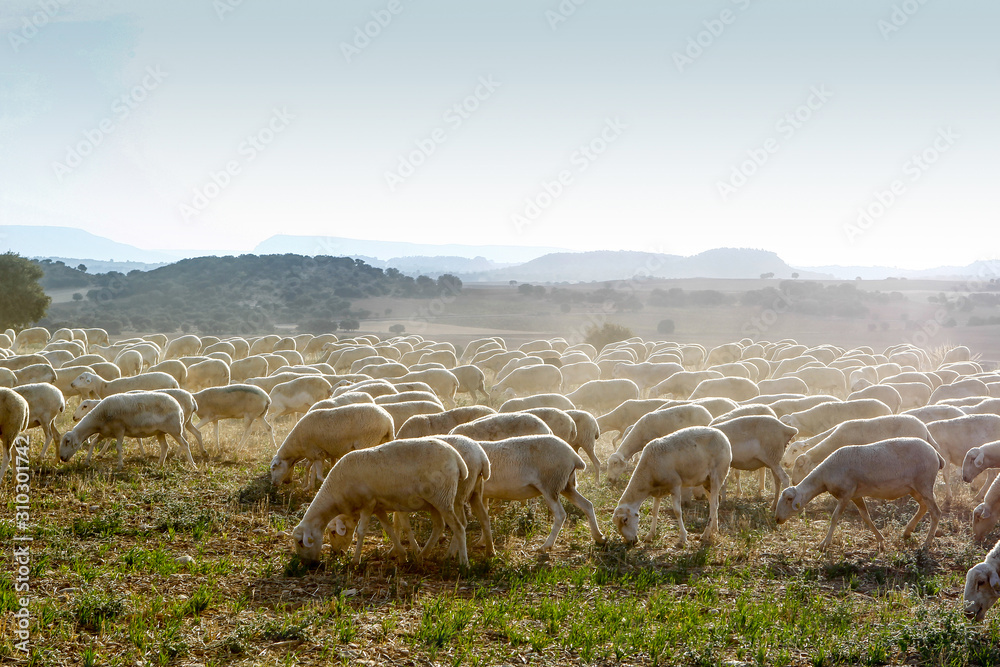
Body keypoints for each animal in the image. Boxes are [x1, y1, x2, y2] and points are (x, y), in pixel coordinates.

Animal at [58, 394, 195, 468]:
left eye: (67, 441)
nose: (61, 457)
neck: (100, 417)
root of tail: (179, 407)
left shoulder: (119, 430)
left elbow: (118, 448)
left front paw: (119, 465)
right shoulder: (104, 433)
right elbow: (93, 443)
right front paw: (87, 461)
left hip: (175, 429)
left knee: (185, 444)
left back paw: (192, 464)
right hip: (160, 431)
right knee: (165, 447)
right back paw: (160, 464)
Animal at [292, 440, 472, 568]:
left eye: (301, 542)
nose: (308, 565)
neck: (337, 492)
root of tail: (457, 458)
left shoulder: (367, 503)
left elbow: (361, 532)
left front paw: (355, 561)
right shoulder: (378, 507)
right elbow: (389, 529)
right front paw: (402, 555)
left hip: (443, 498)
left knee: (458, 527)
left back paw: (464, 563)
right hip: (434, 502)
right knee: (439, 526)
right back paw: (421, 556)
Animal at [604, 428, 732, 548]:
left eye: (625, 520)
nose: (631, 542)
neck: (648, 473)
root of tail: (723, 436)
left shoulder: (675, 485)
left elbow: (677, 512)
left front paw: (683, 538)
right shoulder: (657, 491)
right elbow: (654, 511)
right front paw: (650, 535)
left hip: (717, 474)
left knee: (714, 504)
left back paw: (705, 534)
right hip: (706, 481)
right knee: (713, 503)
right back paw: (714, 530)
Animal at [772, 436, 944, 552]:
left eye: (789, 499)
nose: (777, 519)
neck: (823, 477)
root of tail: (936, 453)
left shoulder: (846, 494)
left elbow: (835, 517)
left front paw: (824, 544)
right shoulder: (856, 495)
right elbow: (865, 516)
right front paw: (881, 541)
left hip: (924, 483)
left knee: (935, 512)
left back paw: (926, 543)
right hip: (914, 487)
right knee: (923, 507)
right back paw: (908, 532)